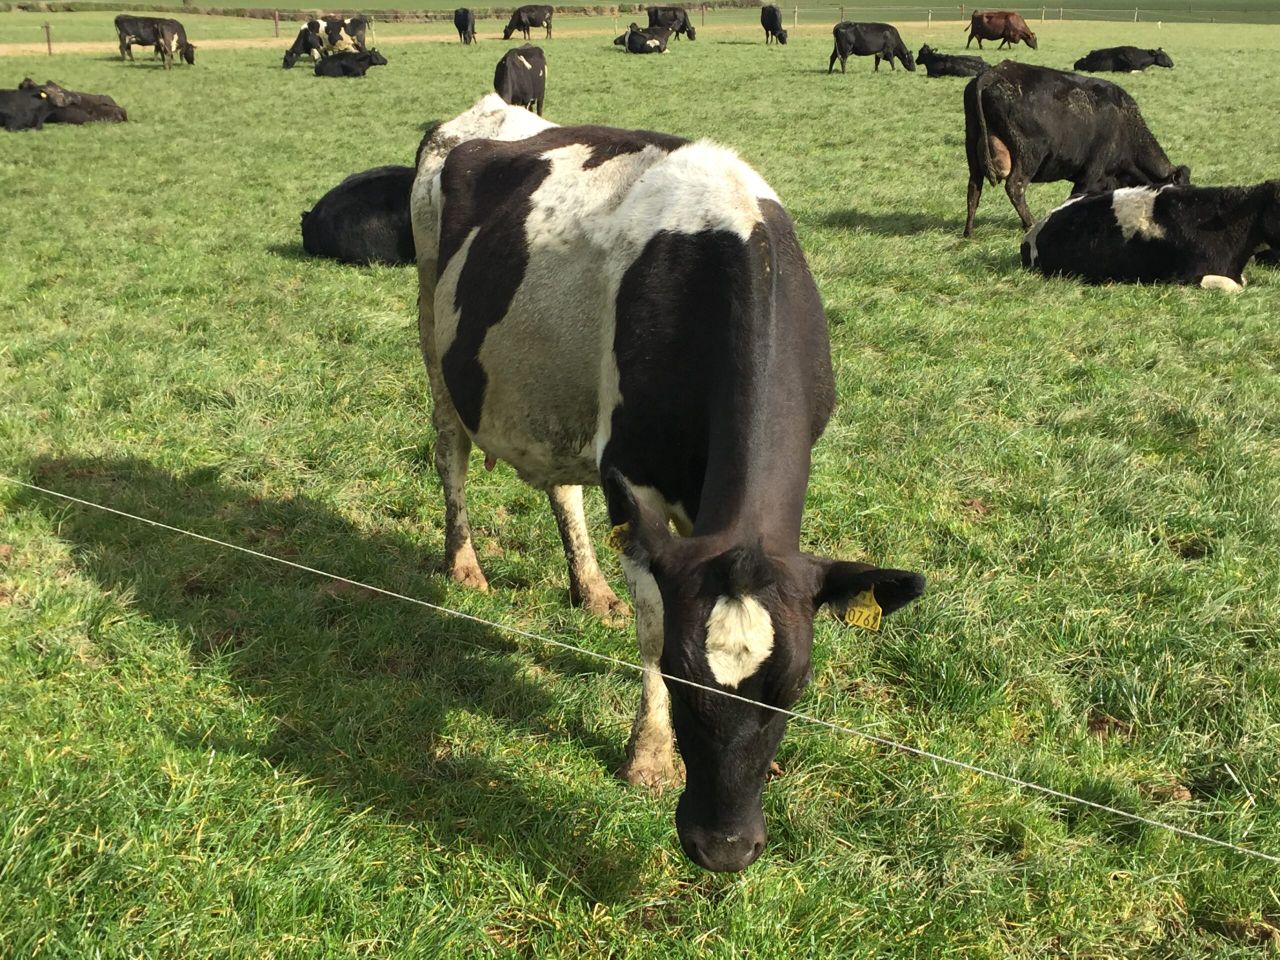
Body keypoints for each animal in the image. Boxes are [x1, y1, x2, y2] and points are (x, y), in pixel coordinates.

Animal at [409, 95, 926, 872]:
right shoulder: (636, 477)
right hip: (432, 325)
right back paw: (464, 564)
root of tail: (490, 109)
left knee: (563, 486)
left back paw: (589, 587)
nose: (724, 847)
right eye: (685, 679)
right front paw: (650, 755)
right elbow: (653, 627)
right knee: (451, 452)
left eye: (794, 687)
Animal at [963, 61, 1189, 237]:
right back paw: (1030, 224)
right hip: (1028, 155)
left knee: (974, 187)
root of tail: (994, 72)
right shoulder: (1090, 173)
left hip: (972, 147)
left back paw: (969, 232)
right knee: (1015, 187)